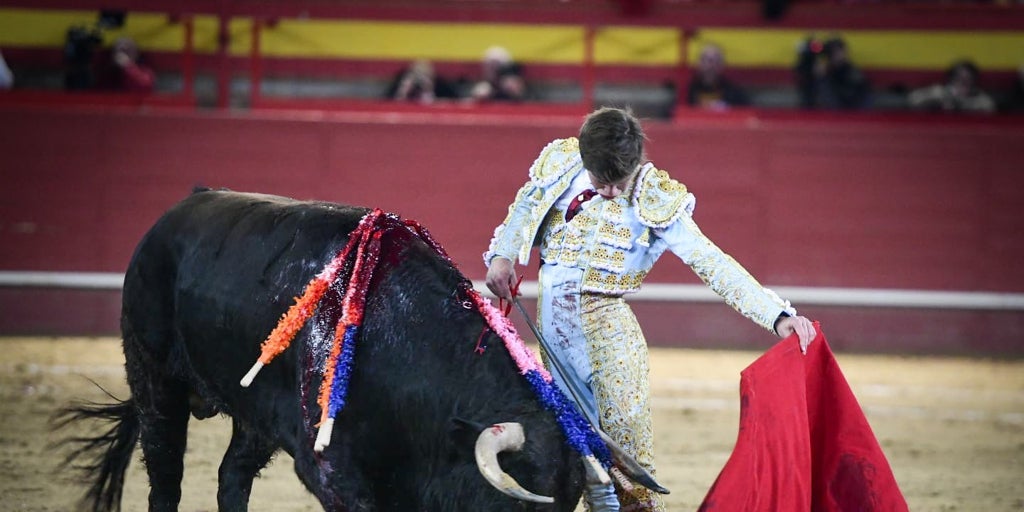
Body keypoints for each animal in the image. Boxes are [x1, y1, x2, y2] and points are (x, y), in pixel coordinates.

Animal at [58, 190, 585, 509]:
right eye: (518, 504)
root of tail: (181, 208)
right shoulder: (334, 473)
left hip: (256, 418)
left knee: (232, 476)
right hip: (154, 378)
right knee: (166, 477)